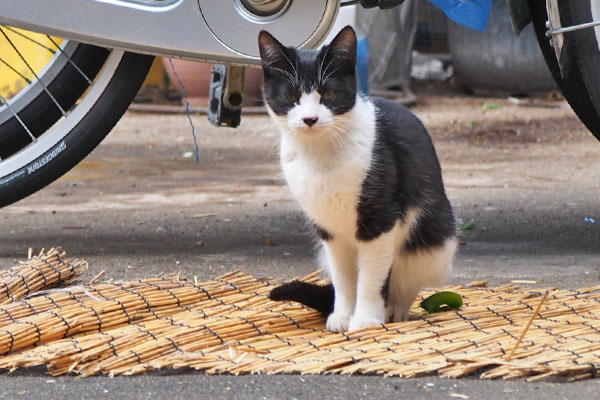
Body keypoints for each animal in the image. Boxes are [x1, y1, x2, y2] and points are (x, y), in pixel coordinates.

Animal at [260, 26, 458, 332]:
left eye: (329, 93)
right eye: (291, 95)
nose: (310, 119)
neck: (321, 156)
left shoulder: (380, 220)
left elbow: (372, 277)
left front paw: (365, 320)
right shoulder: (328, 229)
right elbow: (344, 279)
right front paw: (342, 316)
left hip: (435, 242)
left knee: (406, 278)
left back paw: (393, 310)